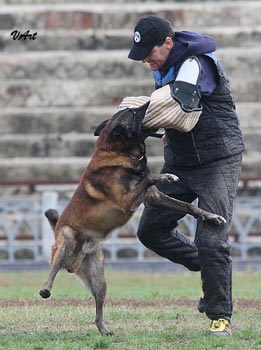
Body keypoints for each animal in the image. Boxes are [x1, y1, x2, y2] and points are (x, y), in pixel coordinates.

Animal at [39, 104, 224, 336]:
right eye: (134, 113)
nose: (147, 103)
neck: (116, 152)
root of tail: (73, 263)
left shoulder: (153, 198)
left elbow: (189, 206)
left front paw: (210, 216)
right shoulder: (126, 201)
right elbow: (148, 177)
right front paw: (166, 176)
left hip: (99, 279)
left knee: (98, 309)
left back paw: (104, 330)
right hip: (66, 240)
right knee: (53, 269)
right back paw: (46, 288)